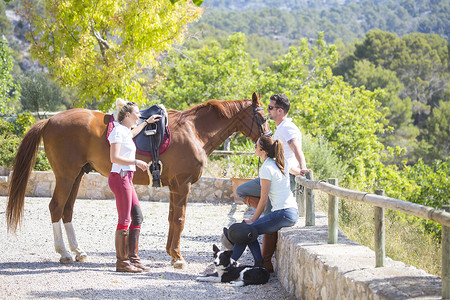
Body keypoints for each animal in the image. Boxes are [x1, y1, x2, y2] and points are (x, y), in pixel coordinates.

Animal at [6, 92, 270, 268]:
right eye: (262, 116)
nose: (268, 140)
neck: (194, 130)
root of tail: (49, 120)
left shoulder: (175, 187)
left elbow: (172, 219)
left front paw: (171, 253)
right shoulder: (182, 185)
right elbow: (180, 219)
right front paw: (178, 258)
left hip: (77, 175)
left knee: (67, 210)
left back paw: (78, 251)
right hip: (66, 175)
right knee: (56, 208)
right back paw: (64, 254)